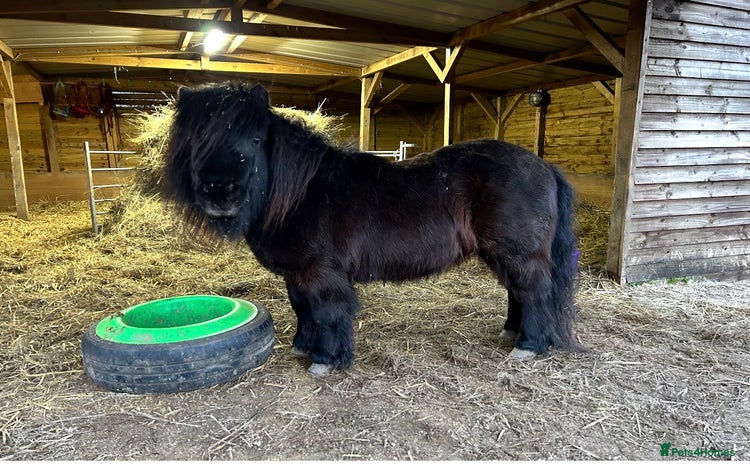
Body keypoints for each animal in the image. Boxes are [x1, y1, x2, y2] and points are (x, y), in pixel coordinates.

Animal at [163, 81, 583, 377]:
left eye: (254, 139)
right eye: (198, 139)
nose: (220, 193)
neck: (302, 192)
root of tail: (545, 167)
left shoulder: (322, 273)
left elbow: (327, 312)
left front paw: (326, 359)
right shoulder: (296, 274)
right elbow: (302, 309)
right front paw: (302, 346)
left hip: (520, 253)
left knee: (533, 292)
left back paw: (528, 345)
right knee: (518, 292)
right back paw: (511, 332)